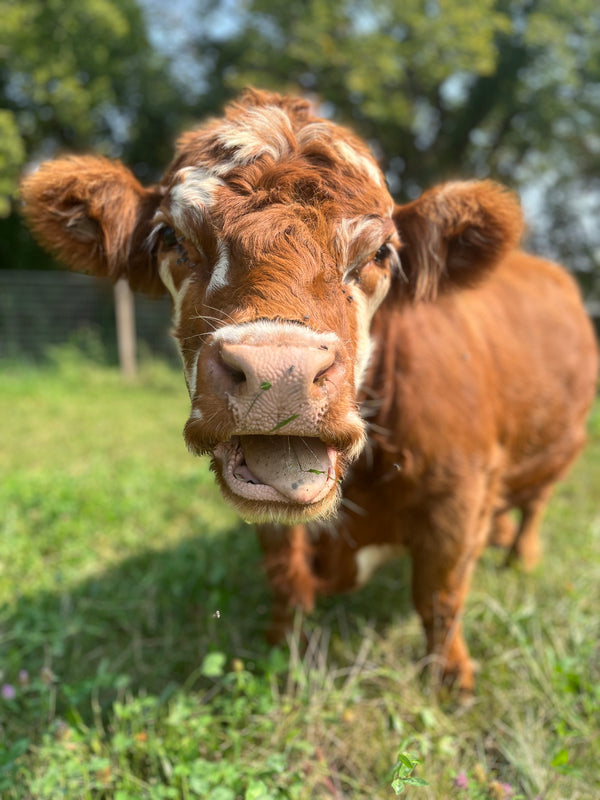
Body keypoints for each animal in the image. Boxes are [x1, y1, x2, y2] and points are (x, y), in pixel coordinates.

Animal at [21, 89, 598, 693]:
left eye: (380, 253)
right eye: (172, 238)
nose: (279, 372)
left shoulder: (457, 493)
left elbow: (439, 595)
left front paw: (451, 678)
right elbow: (287, 581)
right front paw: (282, 653)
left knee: (536, 502)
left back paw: (521, 556)